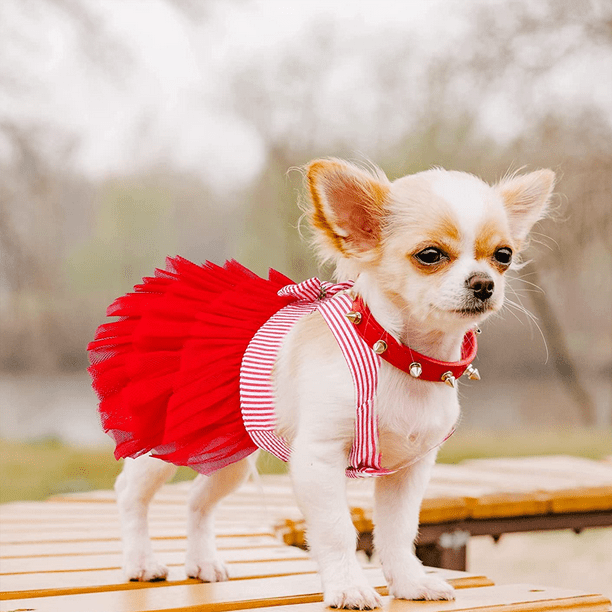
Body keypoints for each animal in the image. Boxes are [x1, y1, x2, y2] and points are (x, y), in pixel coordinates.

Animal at [97, 160, 556, 608]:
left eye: (503, 255)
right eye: (430, 255)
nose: (484, 283)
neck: (400, 359)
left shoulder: (410, 469)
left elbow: (398, 531)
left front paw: (410, 583)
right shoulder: (318, 458)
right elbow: (337, 531)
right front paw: (349, 588)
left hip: (228, 456)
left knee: (196, 501)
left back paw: (202, 562)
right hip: (164, 441)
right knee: (129, 493)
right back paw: (140, 561)